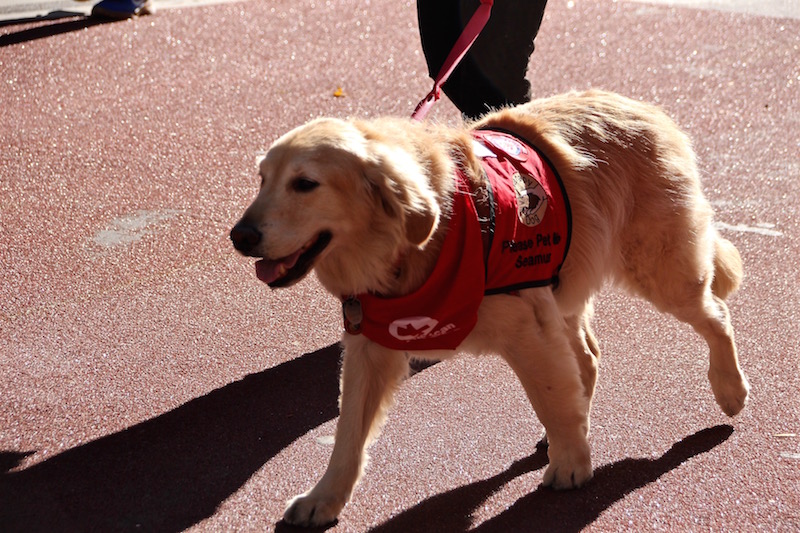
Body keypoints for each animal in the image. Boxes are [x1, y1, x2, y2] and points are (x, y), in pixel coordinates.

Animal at [230, 89, 752, 524]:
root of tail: (644, 107)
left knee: (717, 316)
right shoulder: (371, 344)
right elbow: (348, 436)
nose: (240, 237)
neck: (417, 245)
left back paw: (729, 388)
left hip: (661, 273)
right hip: (566, 285)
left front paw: (572, 463)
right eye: (262, 179)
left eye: (305, 183)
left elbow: (550, 396)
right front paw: (325, 498)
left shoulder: (528, 325)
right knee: (588, 355)